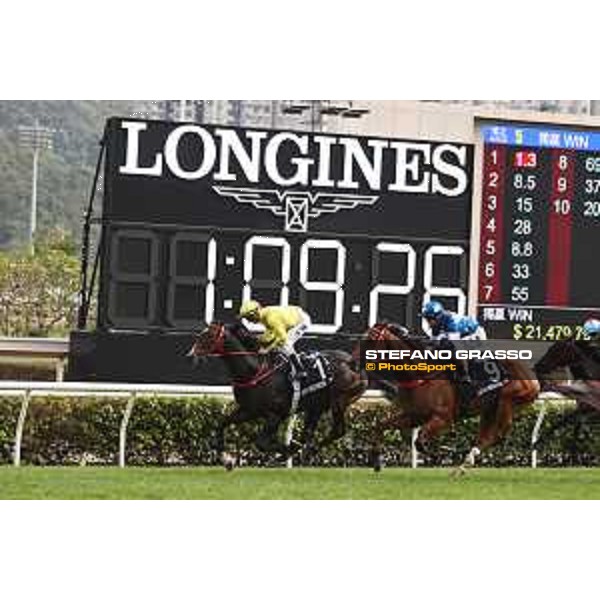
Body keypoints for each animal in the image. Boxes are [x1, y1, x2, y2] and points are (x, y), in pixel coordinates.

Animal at [188, 324, 366, 468]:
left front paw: (284, 452)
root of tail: (353, 363)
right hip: (317, 406)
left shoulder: (275, 415)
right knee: (308, 434)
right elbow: (222, 423)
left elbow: (261, 443)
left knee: (338, 430)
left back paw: (307, 450)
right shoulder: (248, 410)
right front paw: (226, 459)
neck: (255, 371)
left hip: (338, 400)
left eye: (208, 336)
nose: (190, 353)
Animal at [364, 324, 540, 474]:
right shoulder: (413, 415)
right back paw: (462, 466)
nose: (361, 364)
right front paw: (377, 461)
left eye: (372, 340)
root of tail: (531, 374)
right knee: (486, 437)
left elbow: (419, 442)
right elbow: (380, 425)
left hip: (508, 399)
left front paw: (438, 452)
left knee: (499, 435)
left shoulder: (443, 418)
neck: (422, 374)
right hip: (489, 409)